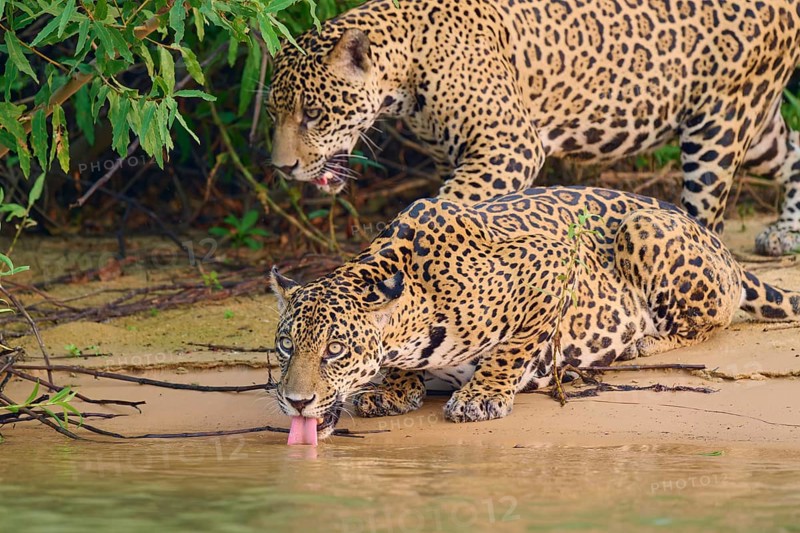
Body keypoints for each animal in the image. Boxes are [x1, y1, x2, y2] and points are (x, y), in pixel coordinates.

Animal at [267, 0, 800, 256]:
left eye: (312, 113)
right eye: (274, 114)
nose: (282, 168)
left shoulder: (508, 146)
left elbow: (446, 206)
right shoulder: (454, 155)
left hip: (719, 122)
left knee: (708, 213)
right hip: (754, 123)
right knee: (794, 150)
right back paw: (786, 234)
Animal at [270, 186, 800, 438]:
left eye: (335, 350)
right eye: (286, 345)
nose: (295, 401)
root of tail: (713, 237)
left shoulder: (551, 260)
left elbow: (513, 348)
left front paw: (481, 396)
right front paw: (394, 389)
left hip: (642, 226)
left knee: (708, 321)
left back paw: (646, 341)